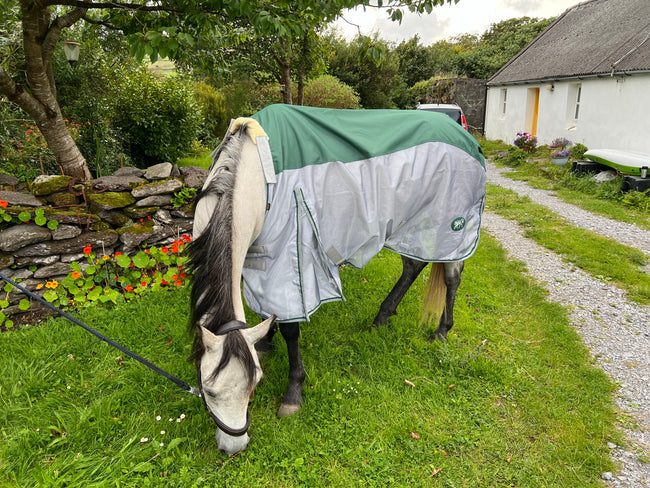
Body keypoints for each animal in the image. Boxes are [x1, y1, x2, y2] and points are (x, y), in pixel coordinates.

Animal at [185, 105, 484, 456]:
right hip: (413, 227)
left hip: (449, 226)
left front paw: (293, 392)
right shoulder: (257, 259)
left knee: (451, 275)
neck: (258, 177)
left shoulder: (290, 258)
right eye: (209, 391)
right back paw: (382, 318)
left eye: (254, 385)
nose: (234, 446)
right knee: (414, 264)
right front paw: (266, 340)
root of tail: (465, 137)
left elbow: (291, 327)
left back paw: (441, 332)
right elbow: (266, 311)